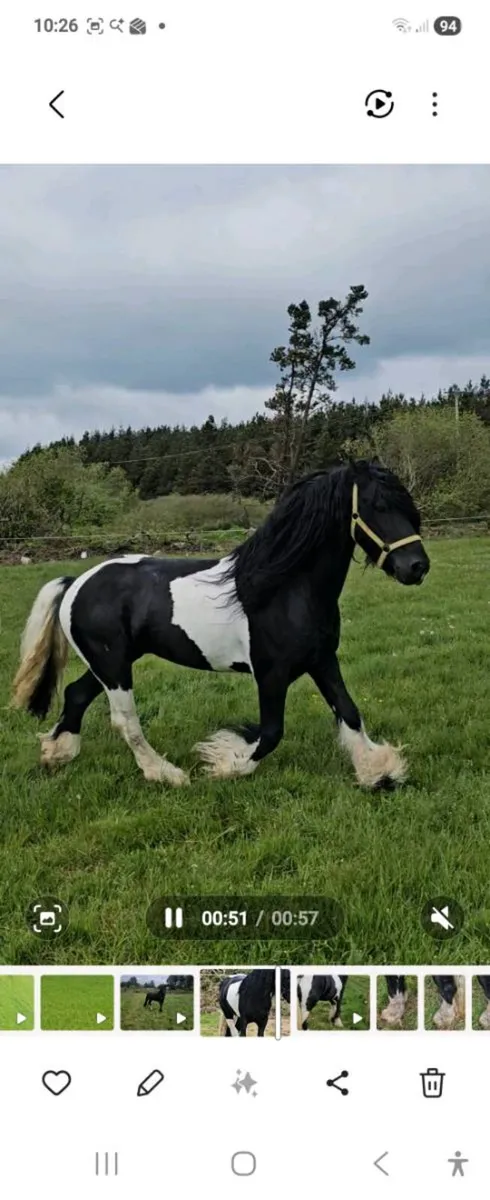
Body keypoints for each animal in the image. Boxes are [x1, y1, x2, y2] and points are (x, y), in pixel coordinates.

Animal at [12, 459, 429, 789]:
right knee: (125, 720)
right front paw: (225, 764)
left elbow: (349, 712)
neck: (284, 590)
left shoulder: (322, 660)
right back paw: (167, 774)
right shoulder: (271, 674)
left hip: (112, 662)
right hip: (113, 666)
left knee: (76, 695)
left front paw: (379, 772)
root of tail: (75, 583)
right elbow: (271, 733)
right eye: (377, 505)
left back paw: (55, 754)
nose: (417, 567)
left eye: (408, 506)